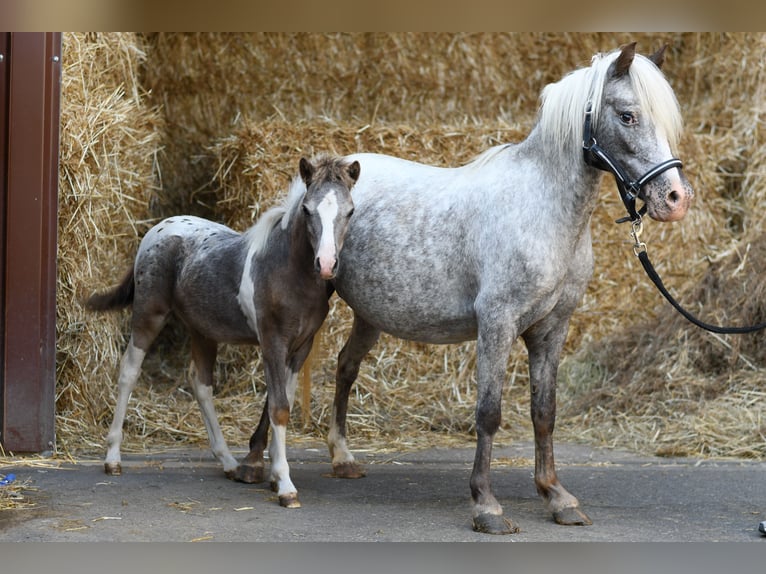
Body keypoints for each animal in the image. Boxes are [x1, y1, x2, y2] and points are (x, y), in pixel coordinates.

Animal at [85, 155, 359, 508]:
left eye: (350, 211)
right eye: (307, 210)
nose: (326, 264)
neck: (288, 272)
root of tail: (157, 229)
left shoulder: (301, 346)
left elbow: (282, 398)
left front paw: (270, 473)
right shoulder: (272, 342)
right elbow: (279, 408)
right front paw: (285, 486)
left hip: (203, 330)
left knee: (200, 383)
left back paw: (228, 462)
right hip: (149, 315)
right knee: (129, 372)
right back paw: (113, 458)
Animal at [242, 43, 694, 533]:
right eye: (628, 115)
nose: (675, 199)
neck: (542, 211)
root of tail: (311, 181)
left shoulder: (551, 329)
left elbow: (544, 413)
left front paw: (557, 497)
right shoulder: (497, 324)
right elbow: (489, 413)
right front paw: (486, 505)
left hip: (370, 313)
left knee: (345, 367)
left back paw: (341, 457)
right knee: (281, 377)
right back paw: (254, 464)